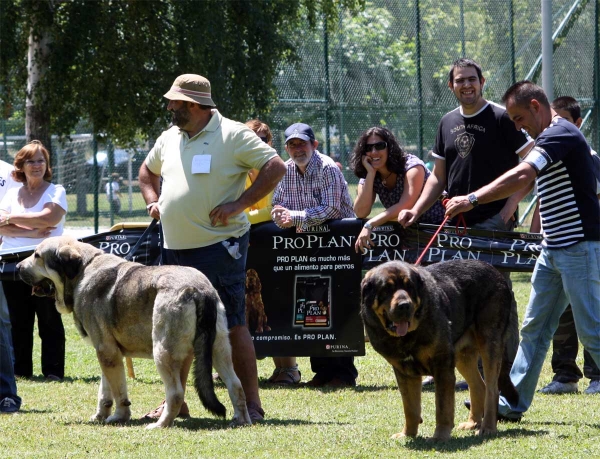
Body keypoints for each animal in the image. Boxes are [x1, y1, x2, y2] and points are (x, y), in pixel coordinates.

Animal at [16, 237, 251, 432]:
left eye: (37, 256)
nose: (17, 267)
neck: (83, 269)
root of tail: (200, 290)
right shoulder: (108, 353)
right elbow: (105, 391)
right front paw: (101, 415)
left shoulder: (107, 352)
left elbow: (119, 392)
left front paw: (120, 416)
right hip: (219, 349)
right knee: (236, 385)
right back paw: (241, 420)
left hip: (163, 353)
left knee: (176, 394)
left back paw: (160, 425)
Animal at [360, 260, 520, 440]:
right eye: (386, 289)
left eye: (410, 287)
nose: (404, 305)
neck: (408, 336)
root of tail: (496, 271)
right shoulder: (404, 372)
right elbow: (410, 408)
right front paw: (407, 434)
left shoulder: (442, 367)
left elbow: (443, 407)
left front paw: (440, 436)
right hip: (463, 356)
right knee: (479, 386)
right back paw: (473, 423)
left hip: (489, 345)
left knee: (492, 390)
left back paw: (487, 428)